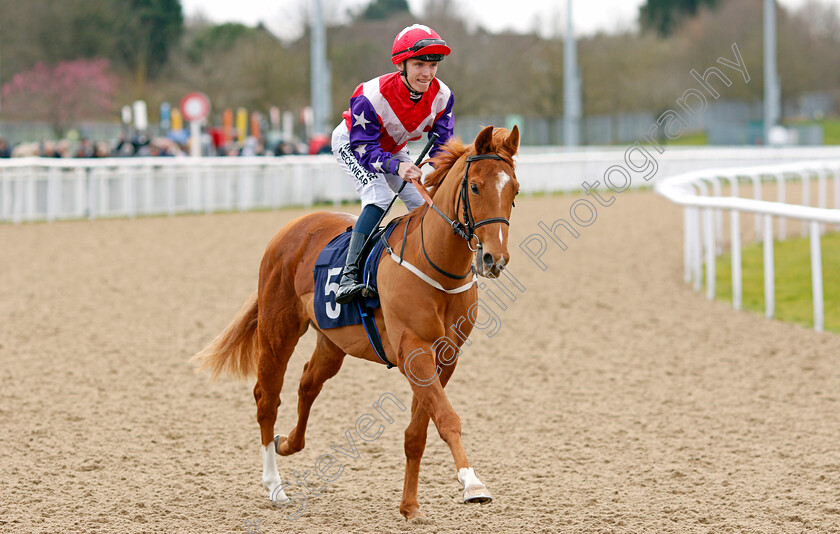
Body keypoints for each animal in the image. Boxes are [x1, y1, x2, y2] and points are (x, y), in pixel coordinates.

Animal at [194, 126, 520, 524]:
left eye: (514, 190)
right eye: (474, 187)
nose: (494, 259)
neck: (435, 265)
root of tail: (293, 226)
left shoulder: (445, 356)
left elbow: (417, 433)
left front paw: (410, 507)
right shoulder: (414, 350)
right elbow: (446, 418)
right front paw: (472, 484)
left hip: (333, 342)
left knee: (308, 382)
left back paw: (288, 443)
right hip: (277, 329)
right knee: (267, 398)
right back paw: (274, 486)